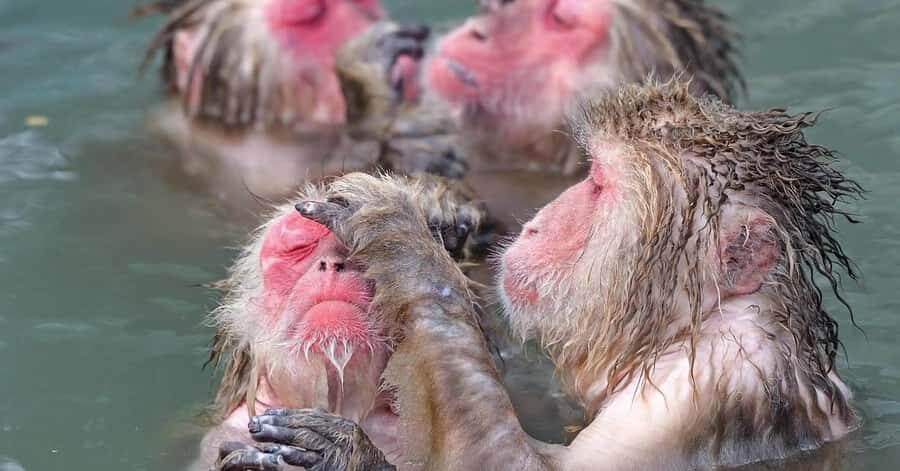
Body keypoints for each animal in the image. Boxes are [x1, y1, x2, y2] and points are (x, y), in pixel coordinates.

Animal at [236, 80, 863, 470]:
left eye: (598, 185)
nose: (536, 225)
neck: (687, 330)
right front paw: (441, 209)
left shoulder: (701, 390)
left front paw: (400, 235)